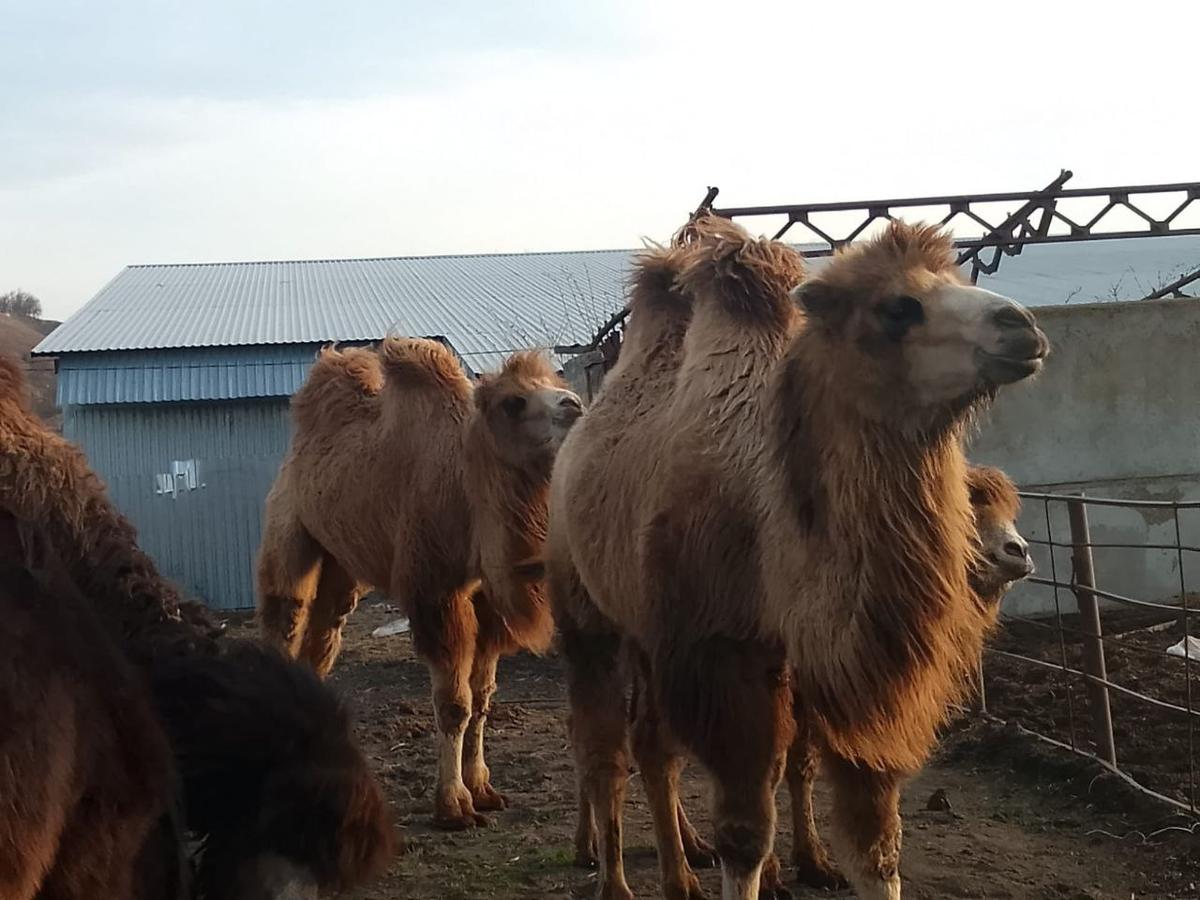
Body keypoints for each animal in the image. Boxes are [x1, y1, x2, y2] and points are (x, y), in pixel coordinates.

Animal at [259, 338, 585, 830]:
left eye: (555, 382)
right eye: (513, 402)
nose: (575, 405)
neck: (467, 486)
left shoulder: (485, 600)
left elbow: (482, 698)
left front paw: (484, 789)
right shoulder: (438, 591)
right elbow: (455, 703)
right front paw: (454, 805)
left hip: (341, 563)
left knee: (325, 632)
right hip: (289, 530)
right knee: (287, 616)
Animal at [549, 217, 1046, 900]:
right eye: (897, 307)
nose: (1022, 326)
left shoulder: (853, 677)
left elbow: (874, 843)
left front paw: (818, 864)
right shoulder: (724, 653)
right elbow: (745, 835)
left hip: (650, 632)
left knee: (652, 743)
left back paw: (683, 865)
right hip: (587, 611)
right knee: (604, 746)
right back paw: (619, 880)